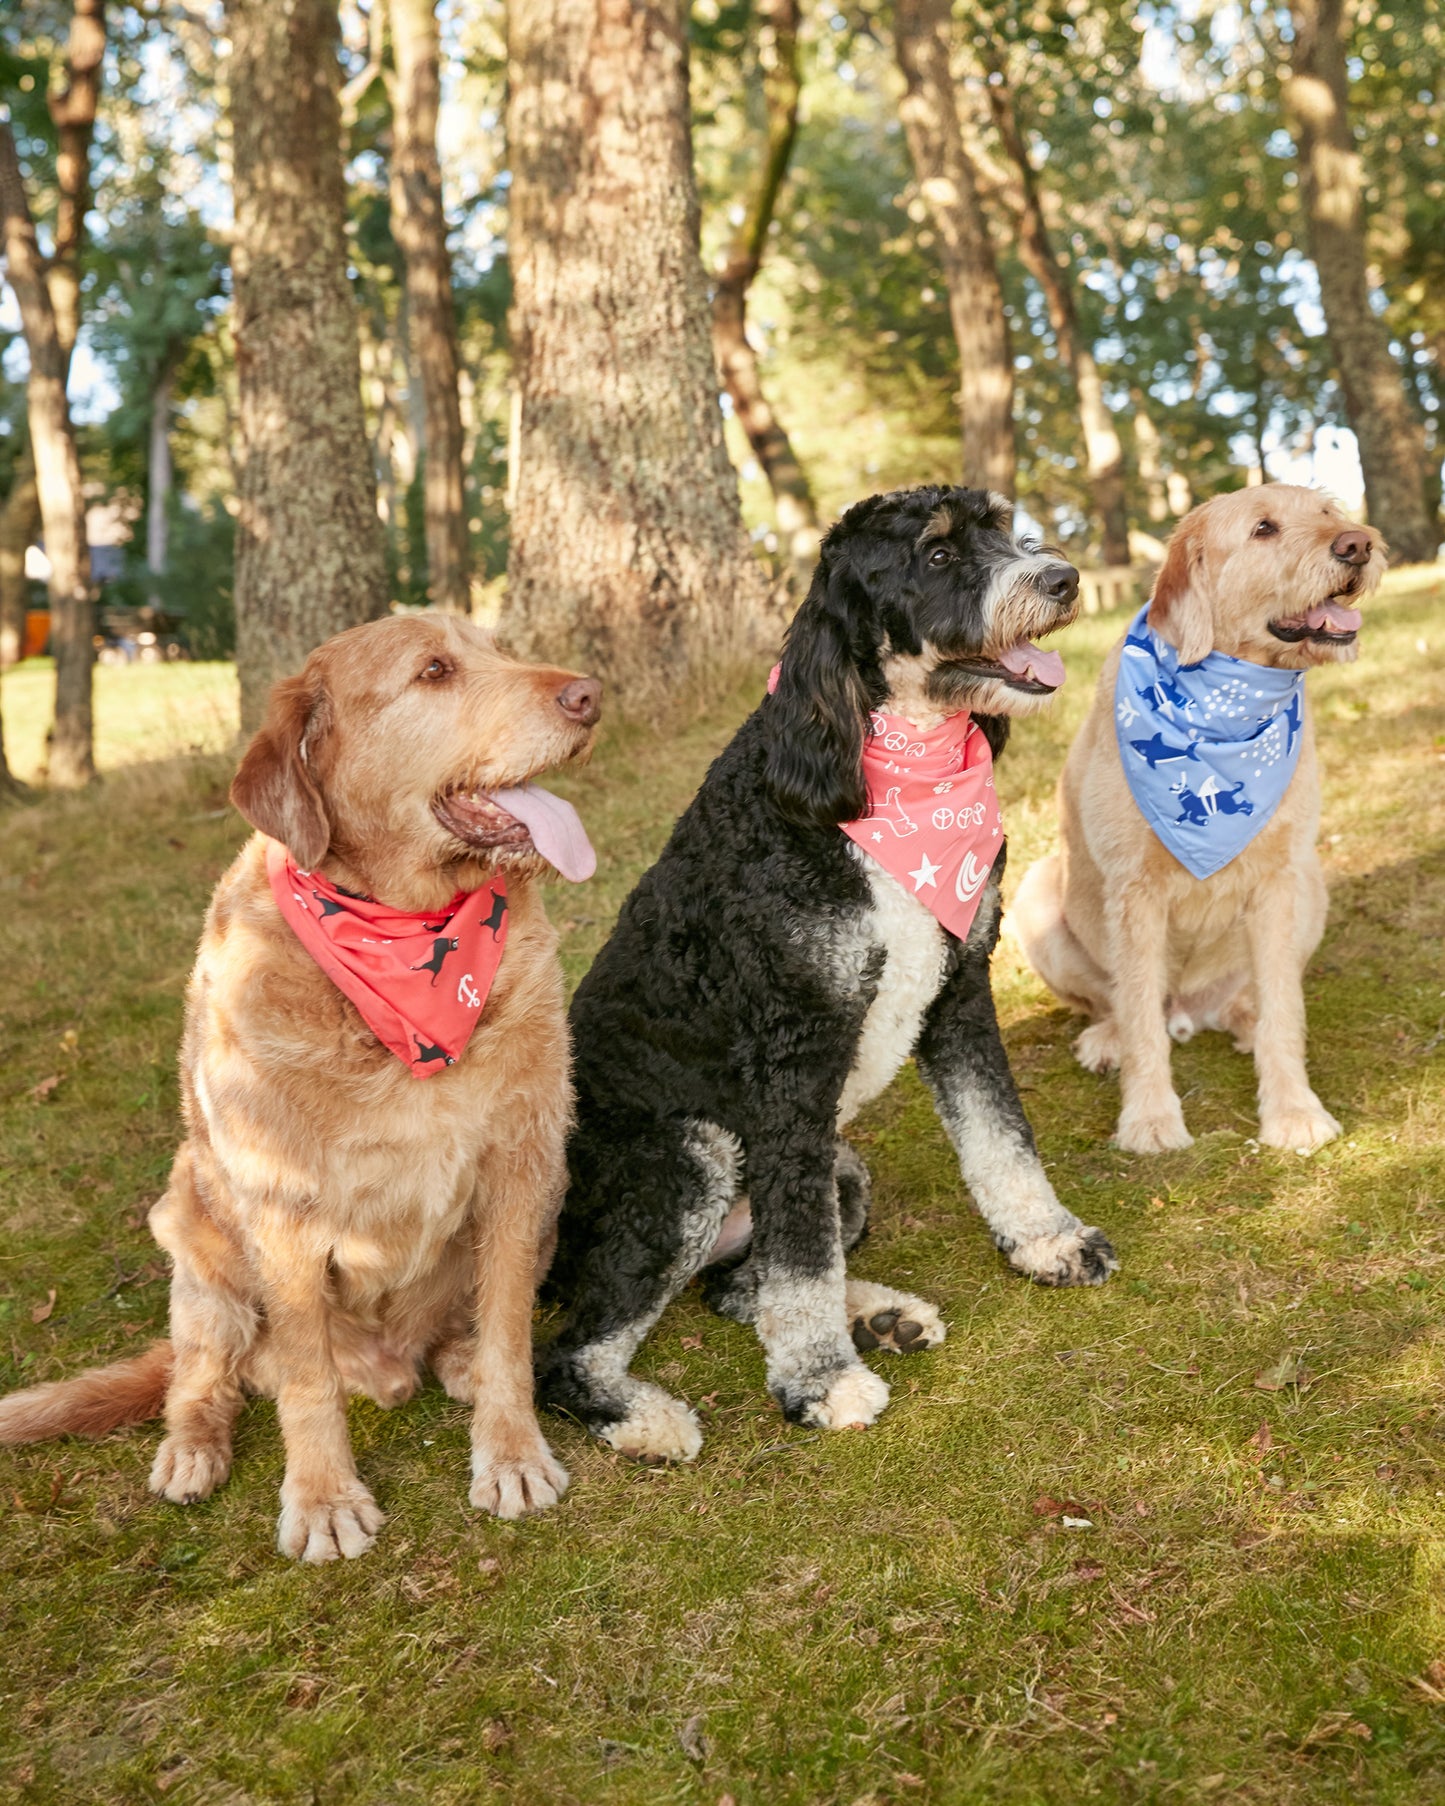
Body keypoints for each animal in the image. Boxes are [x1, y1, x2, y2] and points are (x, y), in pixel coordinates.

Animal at [0, 614, 599, 1560]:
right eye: (434, 670)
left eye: (500, 647)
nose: (588, 696)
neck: (402, 929)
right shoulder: (282, 1211)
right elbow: (307, 1382)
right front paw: (322, 1497)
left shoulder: (524, 1161)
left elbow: (508, 1334)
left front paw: (508, 1451)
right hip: (192, 1233)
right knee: (209, 1374)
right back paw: (193, 1448)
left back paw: (455, 1358)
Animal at [538, 487, 1119, 1459]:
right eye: (935, 555)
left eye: (1002, 527)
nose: (1062, 578)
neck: (886, 772)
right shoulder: (793, 1047)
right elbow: (802, 1262)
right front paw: (817, 1383)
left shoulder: (958, 989)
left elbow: (1000, 1135)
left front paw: (1046, 1241)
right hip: (692, 1157)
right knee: (569, 1355)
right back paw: (643, 1414)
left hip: (836, 1167)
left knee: (740, 1285)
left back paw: (879, 1315)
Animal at [1011, 487, 1379, 1148]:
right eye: (1263, 528)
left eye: (1330, 514)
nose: (1358, 543)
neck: (1227, 700)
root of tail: (1189, 1010)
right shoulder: (1134, 891)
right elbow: (1136, 1010)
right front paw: (1150, 1118)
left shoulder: (1280, 879)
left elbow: (1285, 1007)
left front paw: (1293, 1110)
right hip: (1036, 890)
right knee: (1115, 1004)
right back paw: (1108, 1039)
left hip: (1311, 885)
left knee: (1256, 994)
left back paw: (1244, 1016)